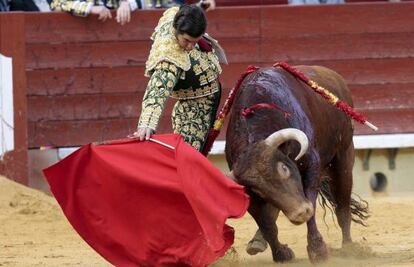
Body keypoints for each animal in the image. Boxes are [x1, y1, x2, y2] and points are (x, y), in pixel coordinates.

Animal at [226, 65, 368, 264]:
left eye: (284, 168)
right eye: (259, 191)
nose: (300, 213)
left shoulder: (312, 164)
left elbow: (311, 203)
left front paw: (317, 249)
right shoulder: (248, 192)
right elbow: (267, 223)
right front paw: (281, 253)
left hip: (344, 156)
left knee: (343, 206)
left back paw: (349, 248)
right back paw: (258, 241)